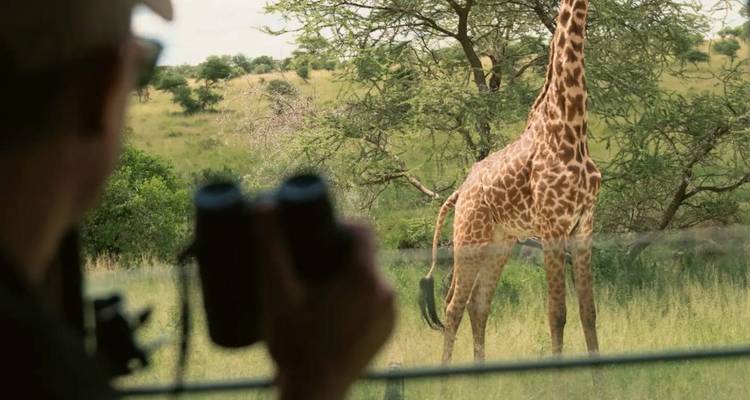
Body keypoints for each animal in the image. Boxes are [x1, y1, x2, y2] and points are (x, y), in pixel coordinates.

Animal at [418, 0, 600, 363]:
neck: (572, 128)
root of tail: (459, 192)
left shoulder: (583, 222)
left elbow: (588, 312)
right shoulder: (552, 226)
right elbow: (557, 314)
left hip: (500, 241)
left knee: (478, 304)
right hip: (469, 237)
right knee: (453, 305)